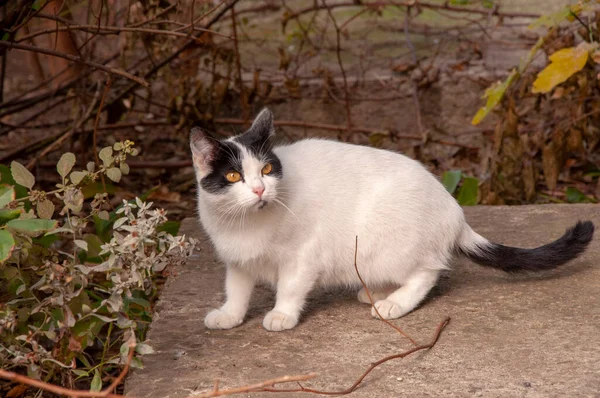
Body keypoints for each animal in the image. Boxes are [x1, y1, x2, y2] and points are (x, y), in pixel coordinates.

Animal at [190, 109, 592, 332]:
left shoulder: (302, 255)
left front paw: (281, 315)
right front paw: (229, 316)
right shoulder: (237, 261)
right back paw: (378, 292)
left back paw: (394, 303)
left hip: (382, 246)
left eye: (267, 169)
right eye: (233, 176)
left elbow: (289, 287)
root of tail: (453, 210)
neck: (246, 223)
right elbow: (236, 290)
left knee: (428, 271)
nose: (260, 190)